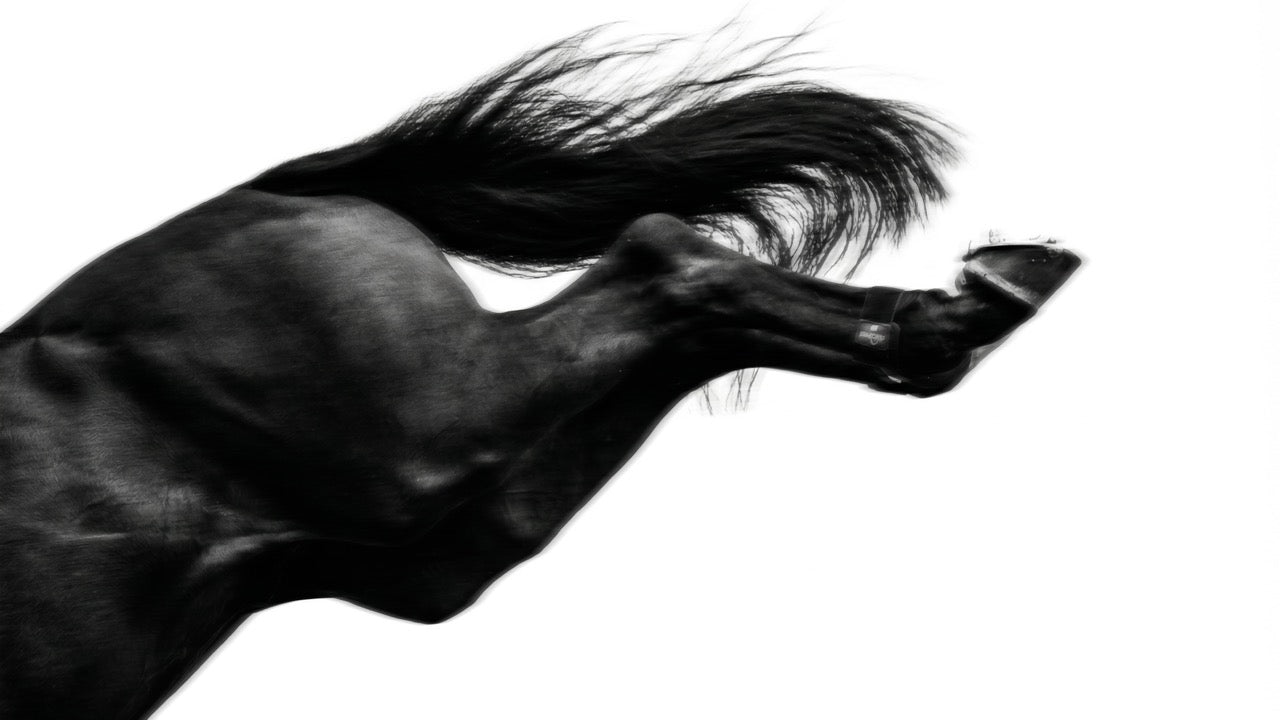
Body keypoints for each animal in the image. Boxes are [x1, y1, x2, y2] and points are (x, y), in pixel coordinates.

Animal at [0, 29, 1079, 719]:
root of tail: (272, 187)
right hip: (433, 540)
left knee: (660, 256)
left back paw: (984, 296)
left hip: (421, 436)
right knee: (683, 304)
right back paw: (957, 314)